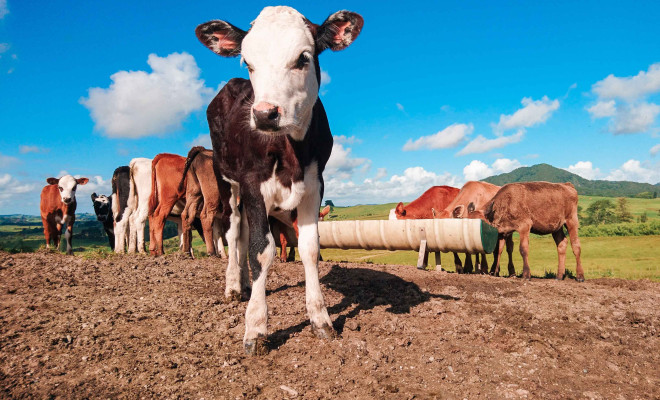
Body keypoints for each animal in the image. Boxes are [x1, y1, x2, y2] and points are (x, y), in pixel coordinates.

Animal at [196, 6, 363, 354]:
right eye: (248, 62)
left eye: (303, 58)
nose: (264, 114)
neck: (291, 151)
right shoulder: (252, 184)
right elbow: (261, 250)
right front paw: (256, 327)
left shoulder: (315, 183)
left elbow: (309, 248)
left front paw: (320, 319)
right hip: (228, 182)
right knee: (234, 233)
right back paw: (233, 285)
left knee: (243, 235)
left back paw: (246, 284)